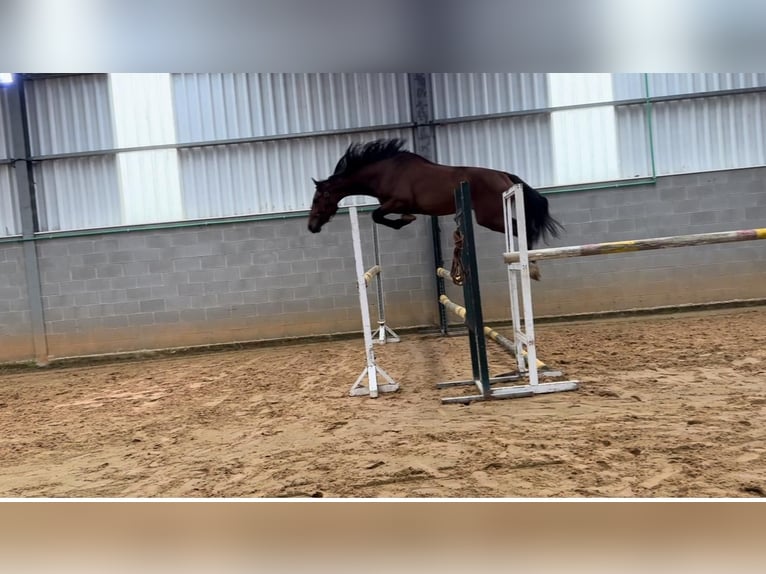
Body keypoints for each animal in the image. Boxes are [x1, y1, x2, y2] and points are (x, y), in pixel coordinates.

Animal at [308, 140, 564, 282]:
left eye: (318, 198)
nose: (311, 227)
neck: (384, 172)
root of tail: (504, 175)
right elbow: (380, 215)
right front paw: (405, 219)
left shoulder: (397, 201)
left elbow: (377, 215)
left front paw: (405, 220)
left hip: (489, 217)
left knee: (523, 228)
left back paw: (532, 267)